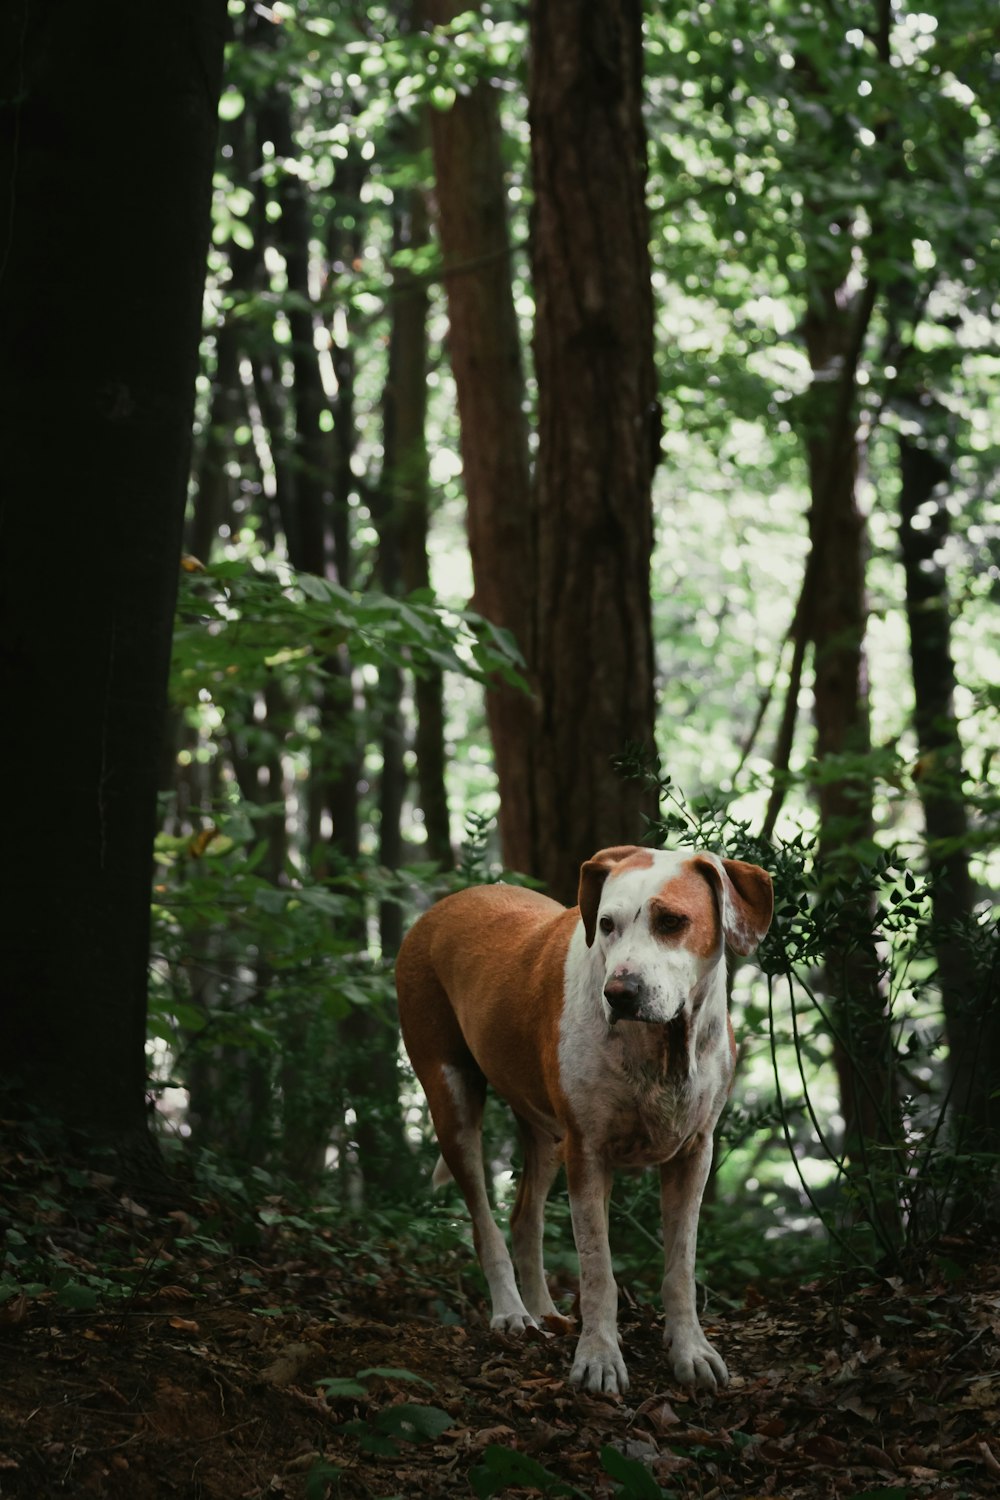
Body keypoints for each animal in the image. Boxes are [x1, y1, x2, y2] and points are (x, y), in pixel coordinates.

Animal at [395, 846, 773, 1392]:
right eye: (606, 924)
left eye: (672, 921)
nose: (620, 993)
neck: (660, 1045)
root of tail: (442, 906)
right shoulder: (589, 1152)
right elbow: (598, 1271)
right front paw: (598, 1358)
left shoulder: (694, 1151)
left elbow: (681, 1266)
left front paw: (691, 1350)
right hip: (454, 1100)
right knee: (485, 1223)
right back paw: (511, 1311)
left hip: (548, 1134)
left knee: (524, 1217)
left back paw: (543, 1312)